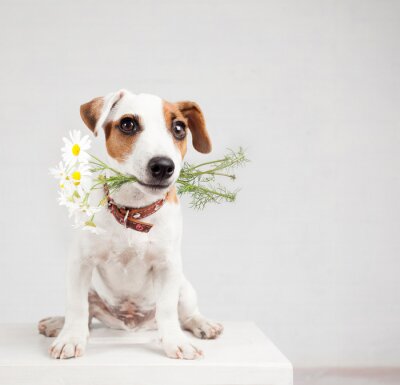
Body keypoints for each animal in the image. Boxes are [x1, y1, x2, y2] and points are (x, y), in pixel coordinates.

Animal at [38, 91, 223, 360]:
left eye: (179, 128)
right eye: (127, 124)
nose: (163, 166)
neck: (132, 211)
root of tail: (131, 324)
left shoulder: (168, 267)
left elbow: (167, 309)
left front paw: (176, 341)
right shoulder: (80, 263)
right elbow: (76, 306)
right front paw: (70, 338)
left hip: (184, 287)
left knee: (186, 313)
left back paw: (203, 324)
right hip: (92, 289)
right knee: (87, 313)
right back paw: (57, 323)